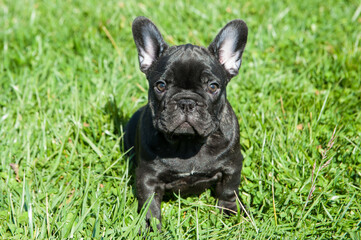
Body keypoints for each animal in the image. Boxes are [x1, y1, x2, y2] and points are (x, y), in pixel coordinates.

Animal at [124, 15, 248, 230]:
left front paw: (229, 212)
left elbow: (228, 190)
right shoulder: (147, 176)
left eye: (213, 86)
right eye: (161, 85)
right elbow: (149, 202)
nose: (186, 102)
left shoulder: (232, 166)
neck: (187, 143)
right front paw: (150, 226)